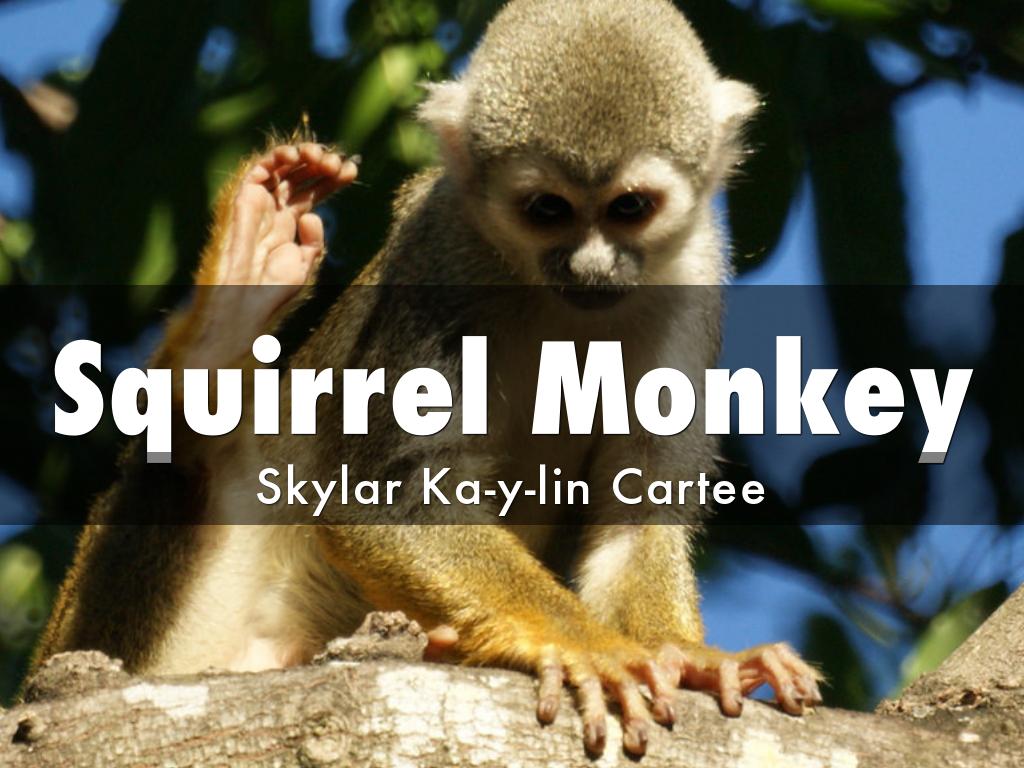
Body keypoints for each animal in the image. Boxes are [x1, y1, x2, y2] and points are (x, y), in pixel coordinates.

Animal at [34, 0, 822, 756]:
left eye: (630, 207)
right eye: (548, 210)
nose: (591, 269)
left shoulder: (695, 272)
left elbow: (637, 506)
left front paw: (693, 658)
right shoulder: (440, 247)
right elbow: (380, 497)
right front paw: (590, 647)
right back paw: (222, 322)